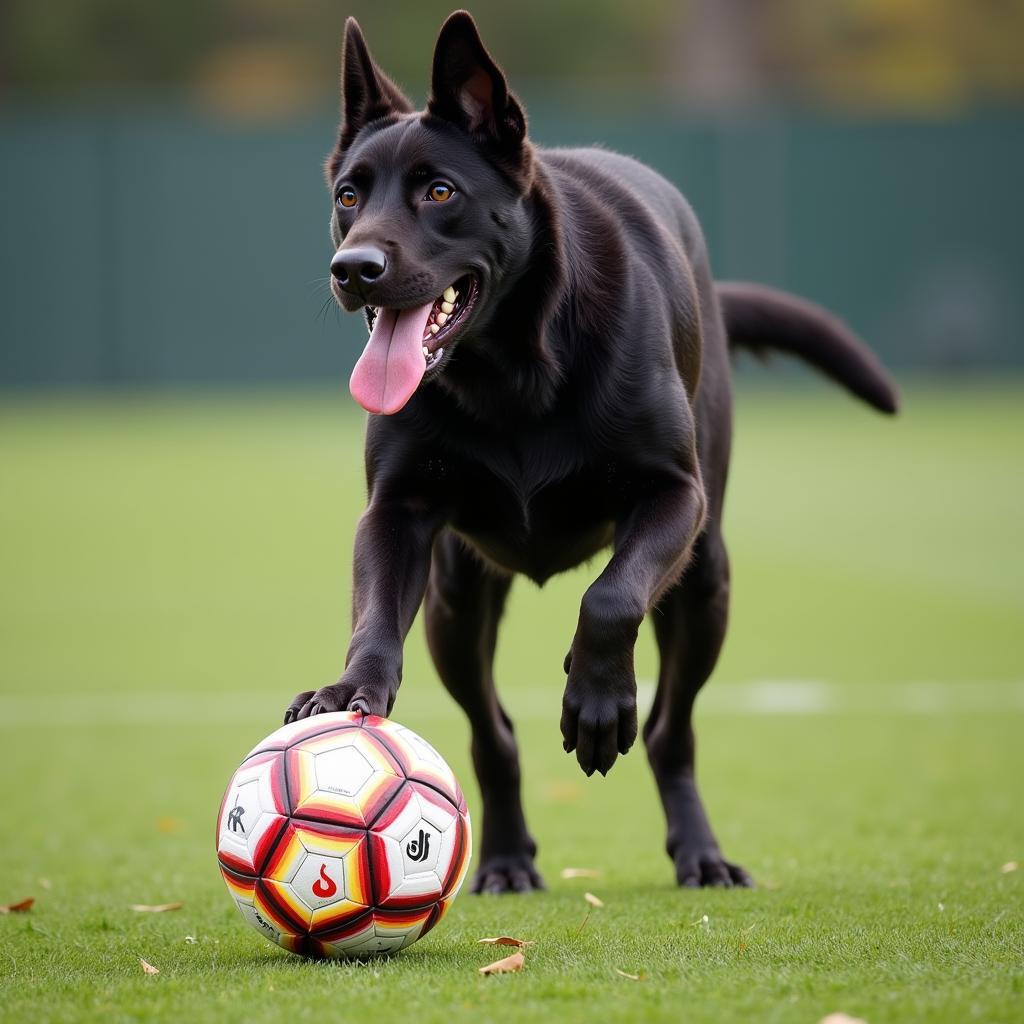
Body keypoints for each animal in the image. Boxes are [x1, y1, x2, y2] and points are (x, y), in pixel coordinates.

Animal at [282, 14, 897, 897]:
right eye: (349, 196)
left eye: (441, 192)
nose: (354, 269)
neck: (511, 371)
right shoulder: (396, 512)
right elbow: (372, 620)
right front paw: (347, 693)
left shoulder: (673, 496)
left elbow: (609, 599)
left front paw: (598, 699)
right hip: (456, 602)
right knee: (493, 733)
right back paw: (506, 861)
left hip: (706, 578)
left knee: (673, 730)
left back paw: (700, 853)